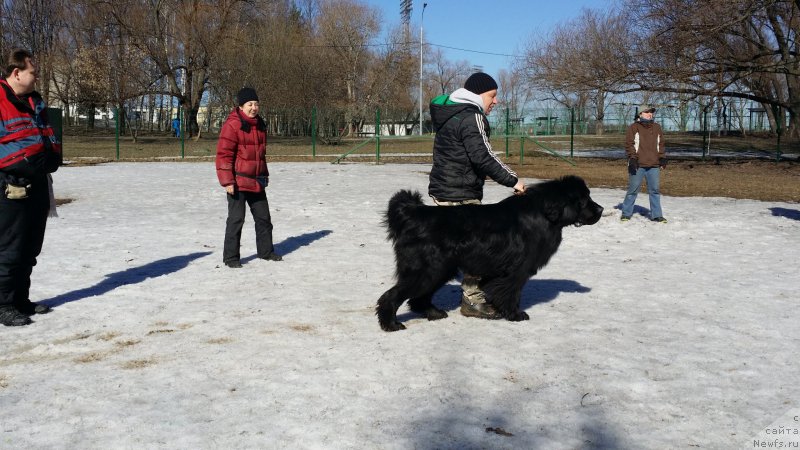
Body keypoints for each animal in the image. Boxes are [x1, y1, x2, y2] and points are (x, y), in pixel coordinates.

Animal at [378, 176, 604, 330]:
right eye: (584, 199)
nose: (601, 210)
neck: (544, 214)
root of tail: (414, 214)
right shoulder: (517, 270)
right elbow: (511, 292)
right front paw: (515, 314)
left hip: (440, 270)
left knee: (419, 297)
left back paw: (433, 313)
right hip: (428, 269)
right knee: (392, 296)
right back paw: (391, 324)